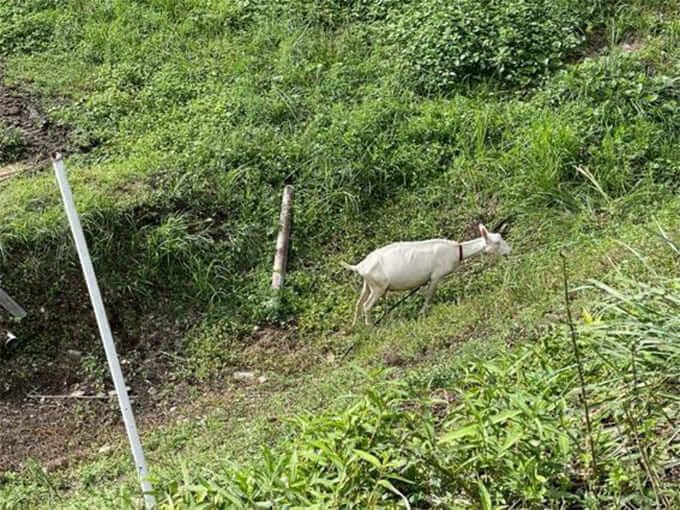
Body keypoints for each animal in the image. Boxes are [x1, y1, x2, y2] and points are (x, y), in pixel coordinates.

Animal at [340, 223, 510, 326]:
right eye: (497, 243)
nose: (510, 250)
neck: (457, 251)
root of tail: (360, 266)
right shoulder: (435, 276)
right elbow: (429, 295)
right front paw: (423, 312)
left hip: (368, 284)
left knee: (358, 303)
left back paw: (355, 325)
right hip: (378, 287)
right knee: (367, 306)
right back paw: (370, 326)